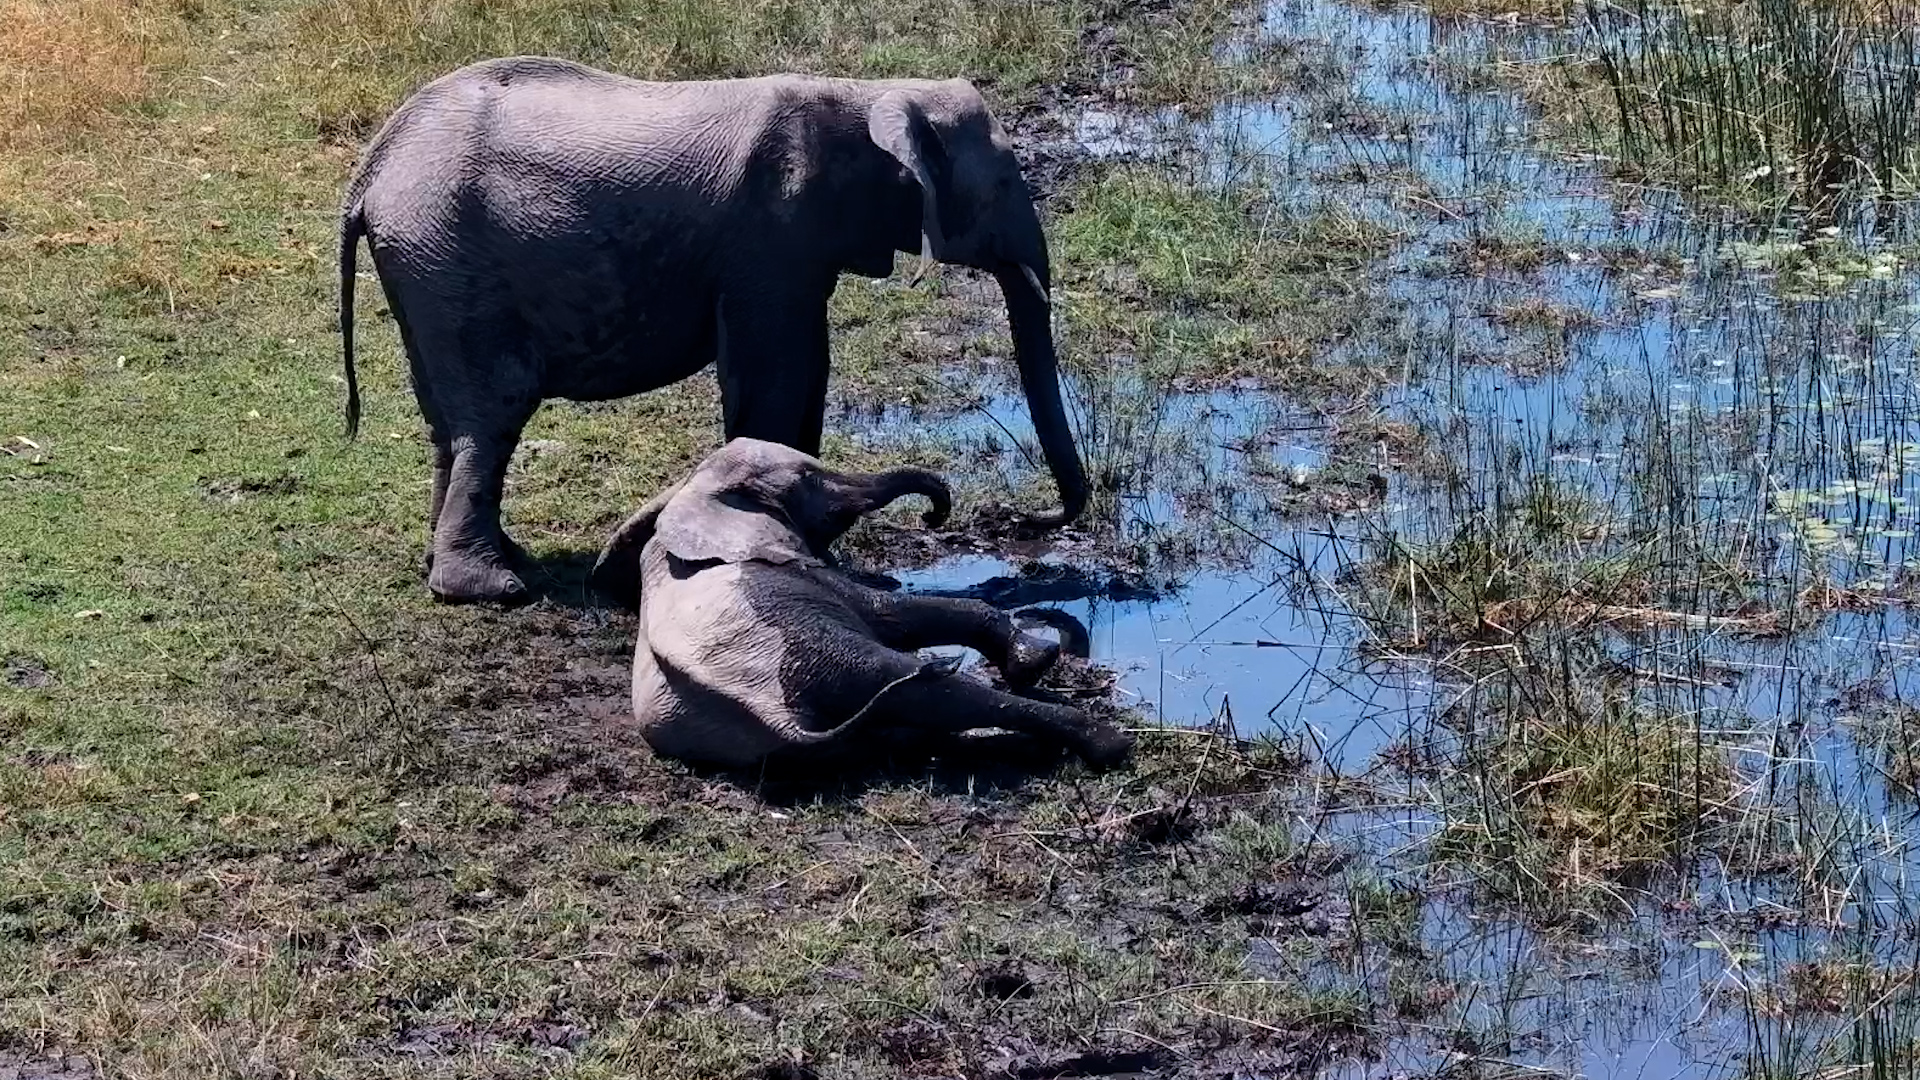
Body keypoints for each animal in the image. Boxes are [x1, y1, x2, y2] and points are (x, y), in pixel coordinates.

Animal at [337, 56, 1089, 604]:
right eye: (1004, 185)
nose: (1014, 522)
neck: (869, 93)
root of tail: (372, 169)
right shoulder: (771, 236)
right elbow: (778, 374)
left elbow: (798, 376)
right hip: (447, 254)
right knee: (494, 412)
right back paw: (494, 589)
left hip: (427, 267)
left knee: (449, 422)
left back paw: (486, 560)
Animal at [588, 437, 1135, 772]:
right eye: (810, 477)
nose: (933, 513)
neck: (691, 490)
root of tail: (776, 720)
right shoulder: (798, 571)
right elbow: (892, 614)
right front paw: (1035, 657)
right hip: (817, 655)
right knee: (924, 687)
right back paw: (1108, 742)